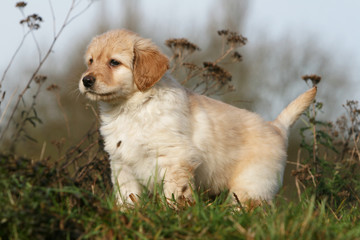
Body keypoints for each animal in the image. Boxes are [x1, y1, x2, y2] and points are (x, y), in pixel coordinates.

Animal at [78, 29, 316, 205]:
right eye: (90, 61)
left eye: (114, 62)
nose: (86, 80)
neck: (132, 108)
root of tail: (276, 126)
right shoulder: (121, 164)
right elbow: (127, 198)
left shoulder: (175, 160)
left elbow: (175, 195)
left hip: (251, 186)